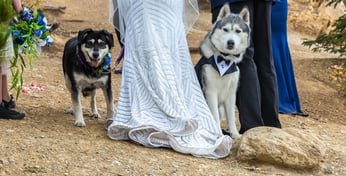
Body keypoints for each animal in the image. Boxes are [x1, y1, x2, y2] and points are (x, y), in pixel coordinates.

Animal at [196, 4, 250, 138]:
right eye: (225, 29)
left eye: (238, 31)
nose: (231, 42)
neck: (224, 60)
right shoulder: (211, 92)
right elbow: (214, 116)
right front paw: (219, 136)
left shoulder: (231, 95)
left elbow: (231, 118)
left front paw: (235, 134)